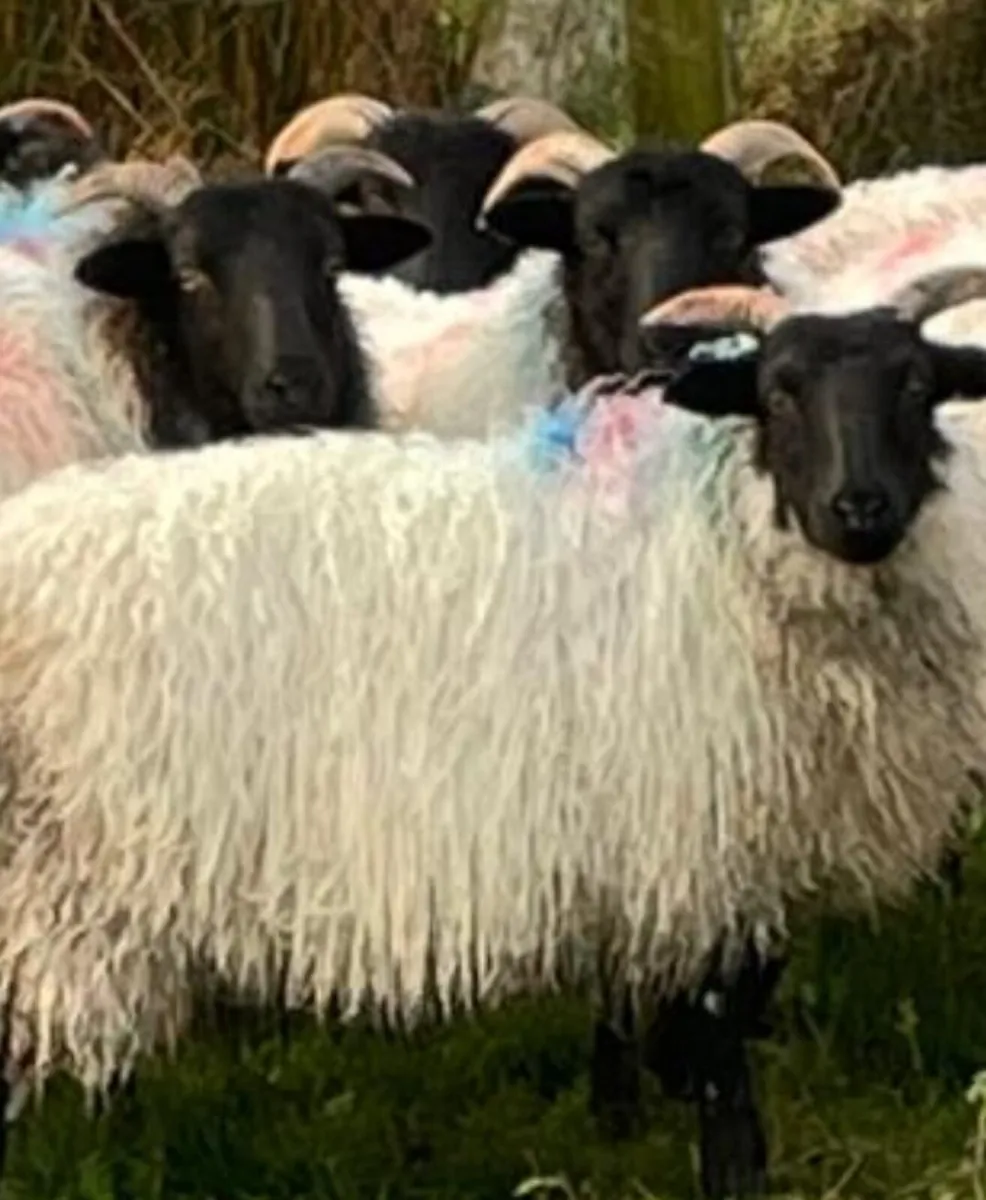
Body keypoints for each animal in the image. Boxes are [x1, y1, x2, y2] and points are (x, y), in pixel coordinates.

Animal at [0, 268, 985, 1198]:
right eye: (778, 392)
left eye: (916, 385)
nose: (860, 508)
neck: (715, 545)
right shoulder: (695, 845)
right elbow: (719, 1061)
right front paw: (729, 1169)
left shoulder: (673, 853)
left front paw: (623, 1112)